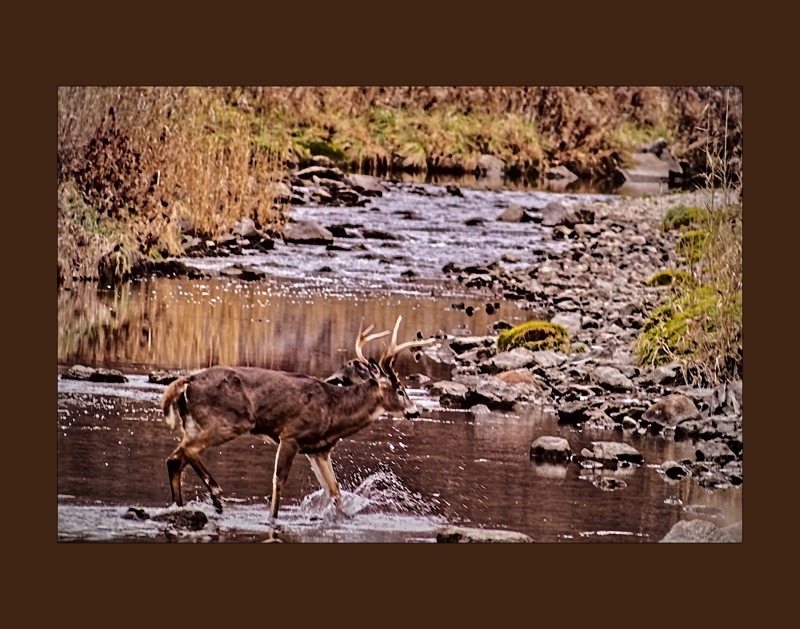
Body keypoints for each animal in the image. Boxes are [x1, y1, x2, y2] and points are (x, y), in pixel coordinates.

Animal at [161, 315, 435, 520]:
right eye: (400, 389)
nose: (415, 411)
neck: (334, 411)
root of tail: (186, 382)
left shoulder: (319, 449)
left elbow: (334, 490)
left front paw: (343, 518)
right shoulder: (291, 435)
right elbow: (278, 482)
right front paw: (272, 519)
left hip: (194, 425)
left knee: (175, 458)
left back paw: (181, 505)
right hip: (227, 422)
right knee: (187, 452)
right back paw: (216, 497)